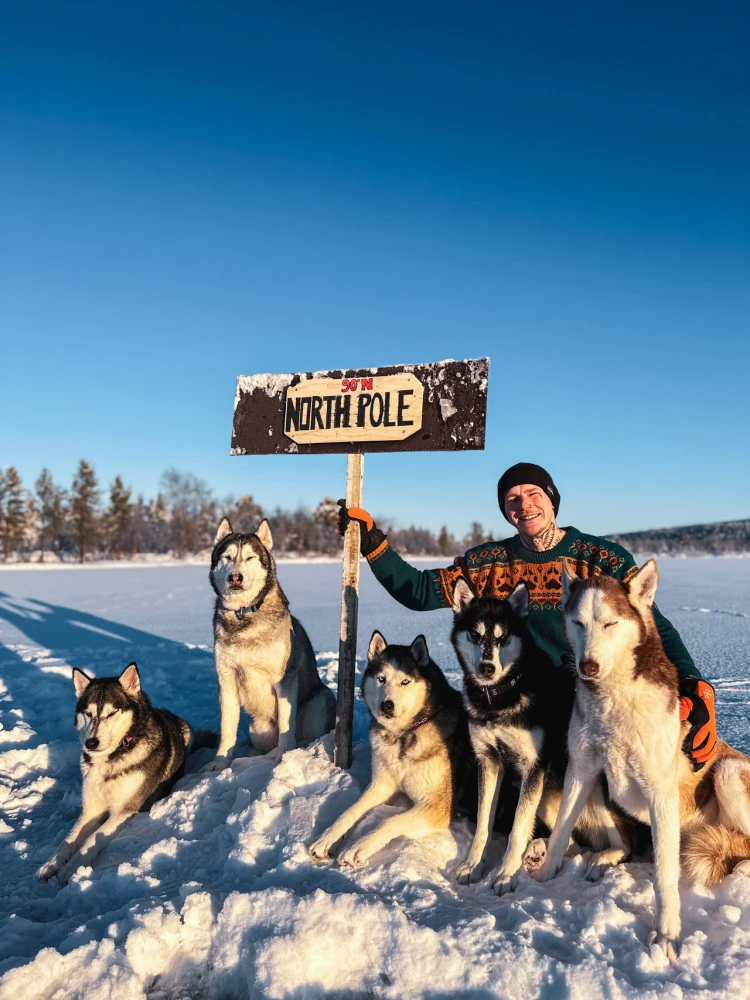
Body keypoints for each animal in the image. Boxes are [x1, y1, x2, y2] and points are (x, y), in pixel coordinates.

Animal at [37, 664, 192, 884]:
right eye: (88, 713)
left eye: (111, 713)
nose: (91, 743)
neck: (113, 756)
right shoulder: (92, 808)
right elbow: (68, 839)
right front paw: (50, 863)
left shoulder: (125, 809)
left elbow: (92, 839)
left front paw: (72, 867)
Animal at [204, 520, 336, 768]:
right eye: (227, 557)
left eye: (249, 558)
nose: (235, 578)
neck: (244, 615)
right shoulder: (226, 680)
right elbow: (227, 727)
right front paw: (221, 762)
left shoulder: (284, 679)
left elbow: (286, 722)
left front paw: (284, 757)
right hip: (258, 729)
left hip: (321, 700)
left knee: (305, 735)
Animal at [308, 632, 472, 868]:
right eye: (381, 679)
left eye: (405, 681)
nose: (387, 705)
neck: (403, 734)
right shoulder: (382, 784)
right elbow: (350, 811)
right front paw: (326, 838)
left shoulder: (437, 807)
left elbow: (390, 821)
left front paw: (357, 847)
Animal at [452, 584, 636, 896]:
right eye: (475, 635)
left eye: (503, 637)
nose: (488, 668)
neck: (500, 698)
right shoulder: (489, 760)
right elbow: (483, 825)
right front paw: (473, 865)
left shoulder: (533, 766)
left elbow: (516, 829)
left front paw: (506, 873)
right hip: (550, 795)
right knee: (571, 843)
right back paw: (541, 849)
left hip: (592, 786)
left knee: (624, 844)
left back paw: (601, 859)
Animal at [540, 564, 750, 960]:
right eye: (578, 622)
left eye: (610, 623)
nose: (588, 666)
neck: (613, 701)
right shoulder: (581, 769)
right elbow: (560, 831)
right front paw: (542, 877)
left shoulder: (661, 794)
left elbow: (664, 876)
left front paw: (666, 935)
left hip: (728, 773)